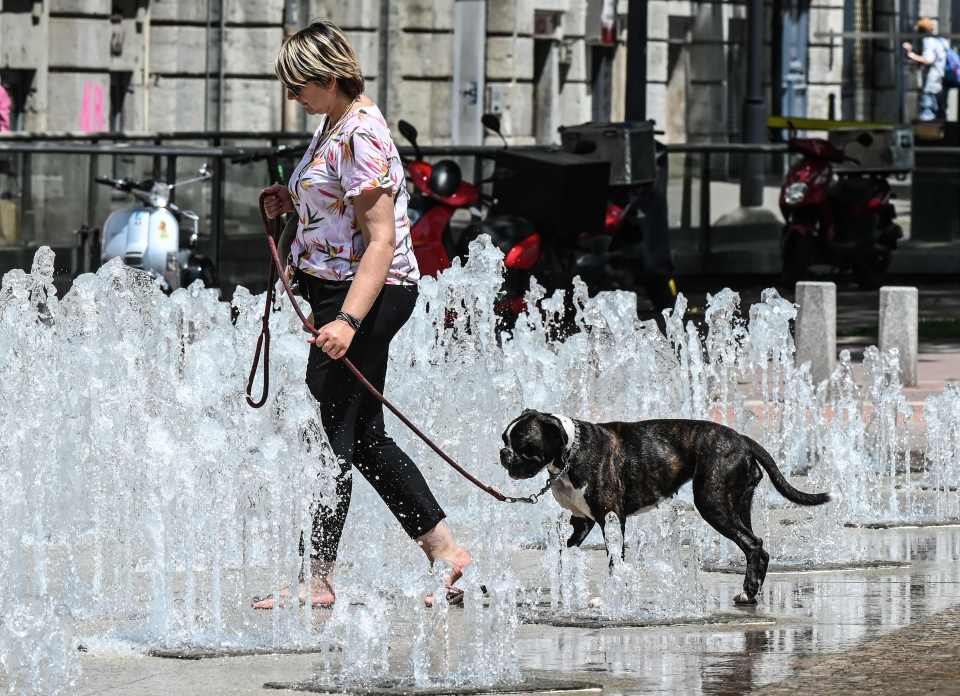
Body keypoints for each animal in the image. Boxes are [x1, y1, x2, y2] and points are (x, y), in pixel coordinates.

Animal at [502, 410, 832, 608]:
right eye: (504, 439)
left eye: (523, 445)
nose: (503, 453)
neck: (571, 451)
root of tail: (742, 439)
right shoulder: (581, 523)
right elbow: (564, 553)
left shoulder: (611, 519)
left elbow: (614, 561)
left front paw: (614, 595)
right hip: (738, 504)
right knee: (757, 547)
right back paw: (750, 593)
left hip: (712, 504)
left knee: (753, 544)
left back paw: (749, 591)